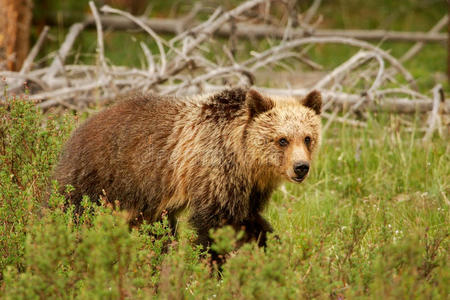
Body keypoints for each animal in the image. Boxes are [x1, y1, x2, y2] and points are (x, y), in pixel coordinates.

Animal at [54, 88, 322, 252]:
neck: (245, 161)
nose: (301, 167)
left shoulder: (248, 190)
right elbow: (213, 226)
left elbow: (250, 222)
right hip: (100, 177)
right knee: (73, 213)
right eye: (282, 140)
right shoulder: (212, 173)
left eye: (307, 138)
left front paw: (274, 249)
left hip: (145, 201)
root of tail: (78, 128)